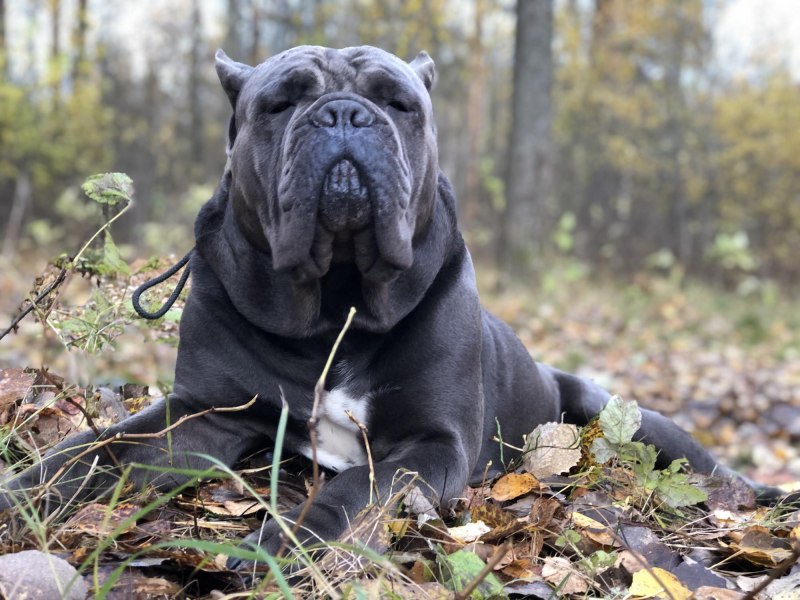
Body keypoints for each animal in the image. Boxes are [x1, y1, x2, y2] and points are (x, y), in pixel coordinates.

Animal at [0, 46, 771, 565]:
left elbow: (353, 493)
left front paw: (283, 544)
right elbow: (92, 452)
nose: (344, 114)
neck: (332, 303)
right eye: (279, 104)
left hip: (632, 421)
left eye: (400, 104)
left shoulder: (430, 441)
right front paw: (19, 494)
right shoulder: (202, 411)